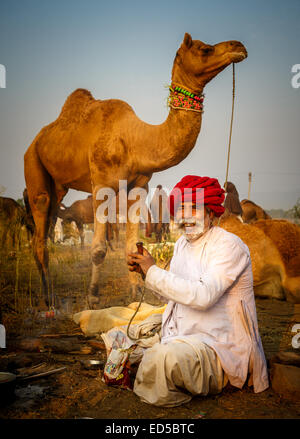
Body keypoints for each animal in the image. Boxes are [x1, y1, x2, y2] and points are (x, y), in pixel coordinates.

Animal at [24, 32, 247, 308]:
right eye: (205, 49)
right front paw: (93, 296)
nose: (238, 46)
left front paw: (135, 292)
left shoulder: (139, 186)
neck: (135, 140)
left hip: (58, 185)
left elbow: (131, 246)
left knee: (45, 227)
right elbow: (98, 249)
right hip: (33, 163)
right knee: (40, 217)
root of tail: (36, 140)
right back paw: (49, 298)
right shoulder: (101, 184)